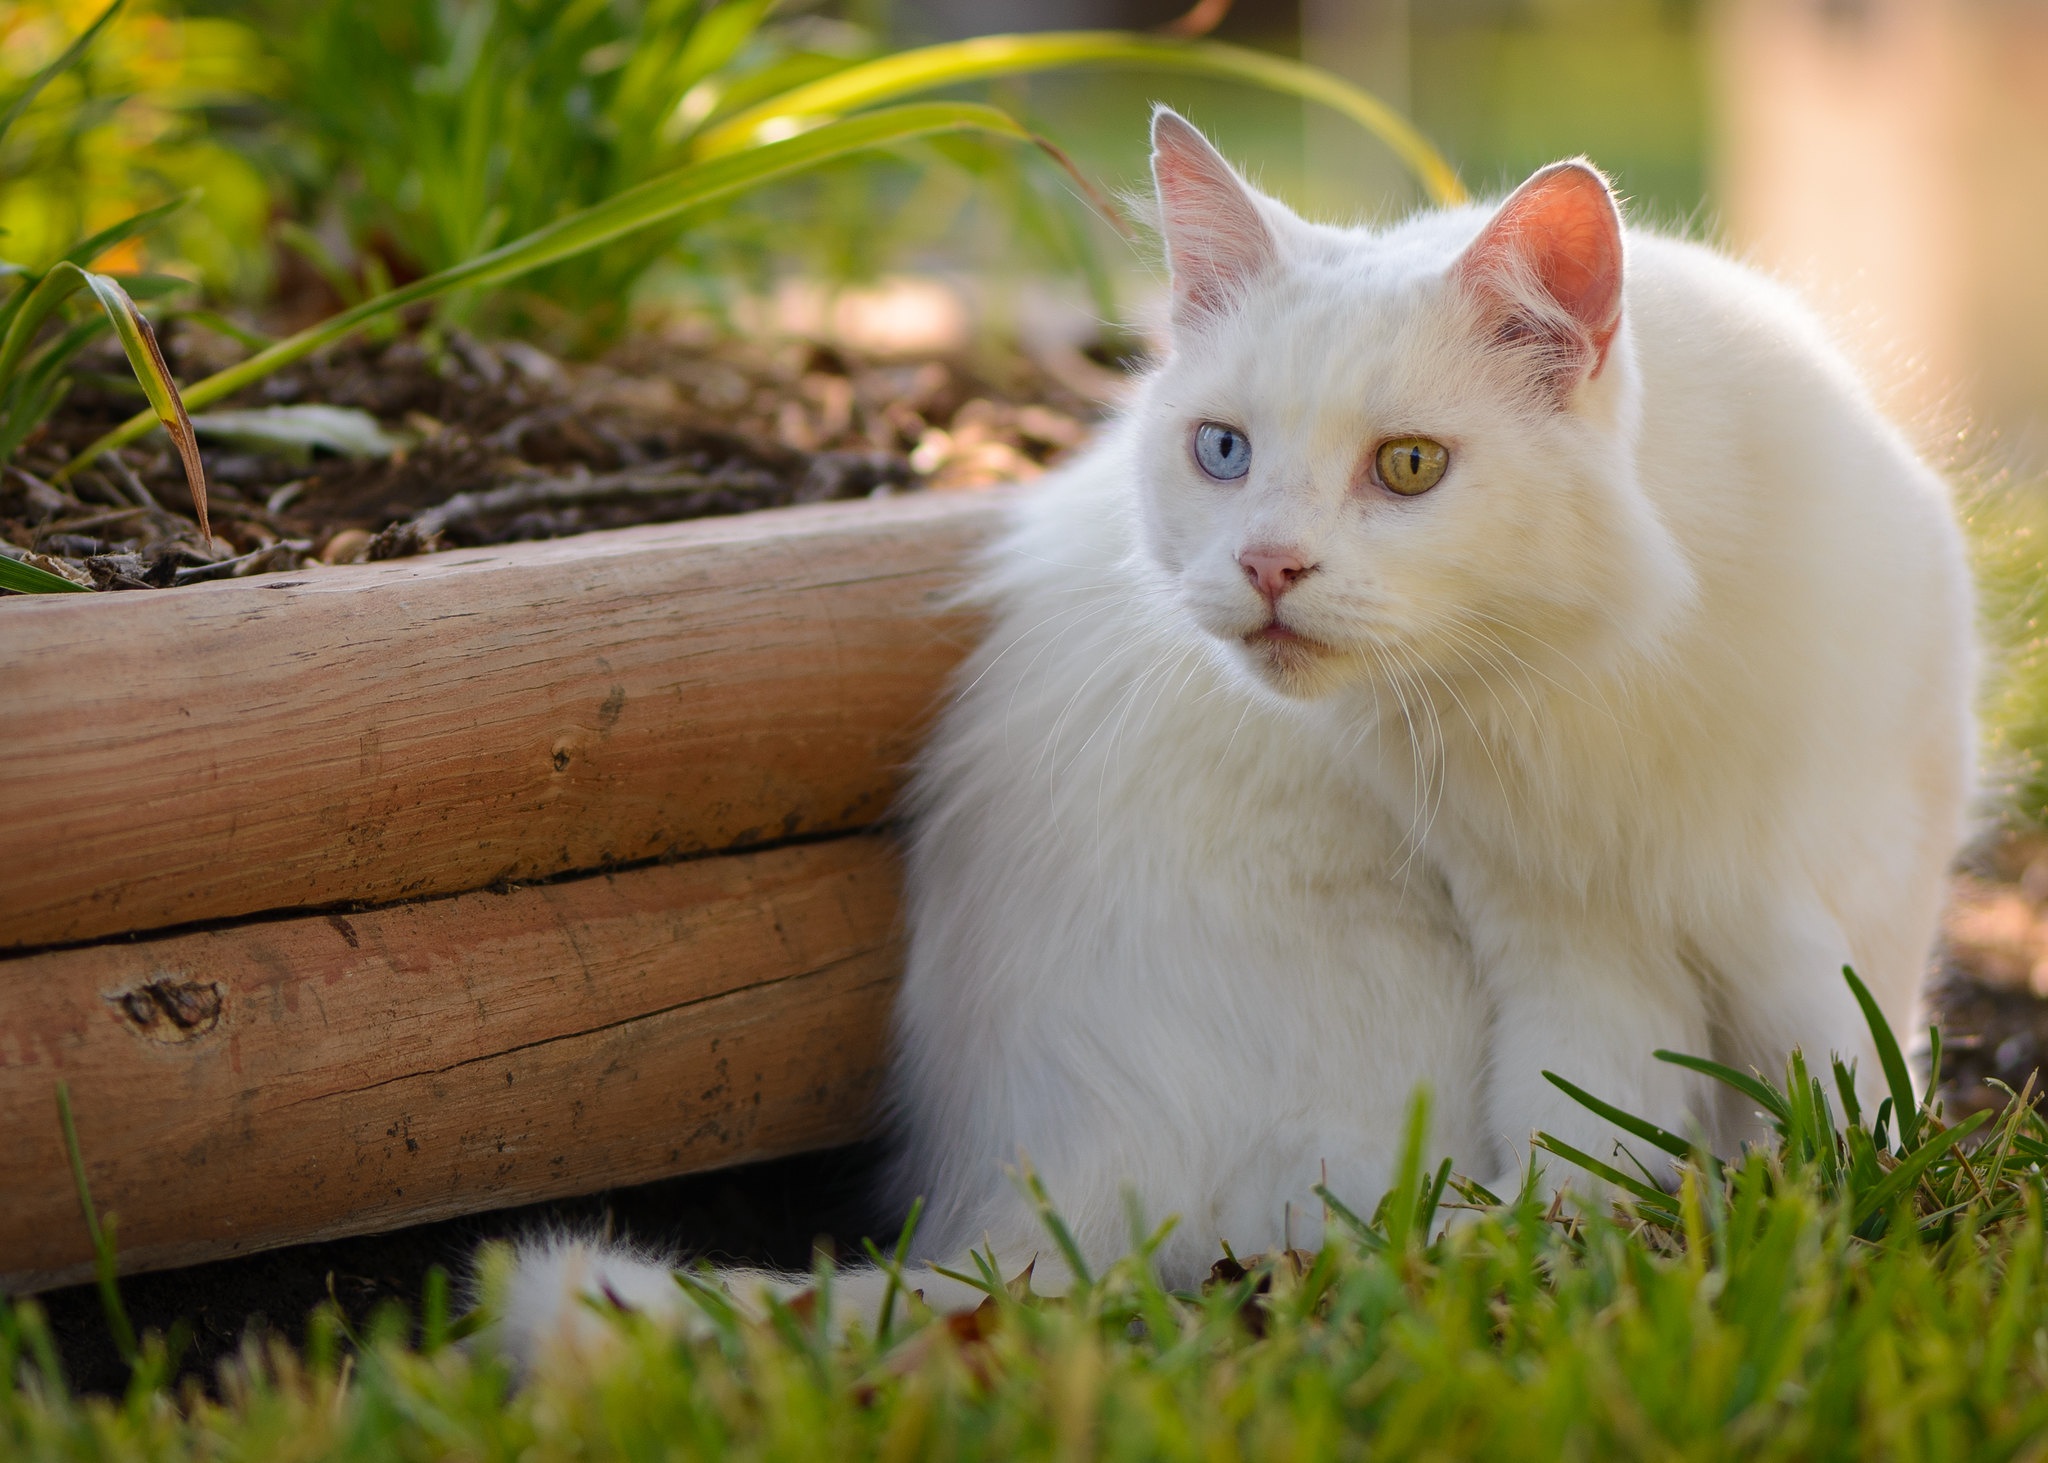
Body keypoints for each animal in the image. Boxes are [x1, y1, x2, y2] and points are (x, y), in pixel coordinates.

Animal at [487, 108, 1974, 1360]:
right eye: (1222, 452)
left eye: (1410, 467)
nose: (1266, 564)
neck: (1592, 661)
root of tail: (1027, 1190)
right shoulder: (1560, 931)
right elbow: (1587, 1127)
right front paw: (1583, 1244)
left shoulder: (1850, 876)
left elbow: (1852, 1067)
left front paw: (1867, 1190)